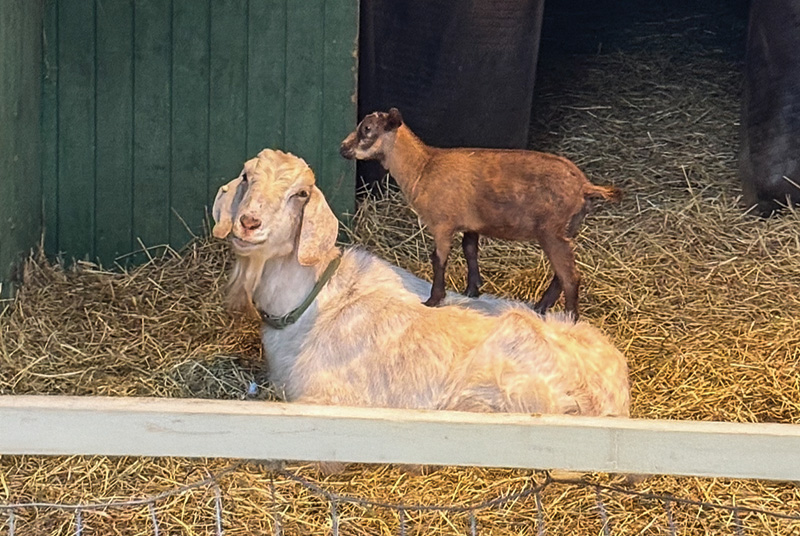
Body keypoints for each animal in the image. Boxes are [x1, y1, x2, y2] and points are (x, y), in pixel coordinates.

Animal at [212, 148, 630, 420]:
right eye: (247, 177)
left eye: (300, 194)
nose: (249, 223)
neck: (312, 304)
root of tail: (618, 382)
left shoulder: (328, 399)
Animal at [339, 108, 621, 320]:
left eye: (367, 129)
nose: (343, 148)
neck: (422, 167)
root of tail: (585, 187)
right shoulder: (470, 224)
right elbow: (470, 250)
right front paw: (472, 290)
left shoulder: (442, 225)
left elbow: (438, 260)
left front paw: (433, 299)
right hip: (565, 232)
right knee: (560, 274)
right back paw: (540, 308)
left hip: (553, 232)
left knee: (571, 277)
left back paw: (570, 320)